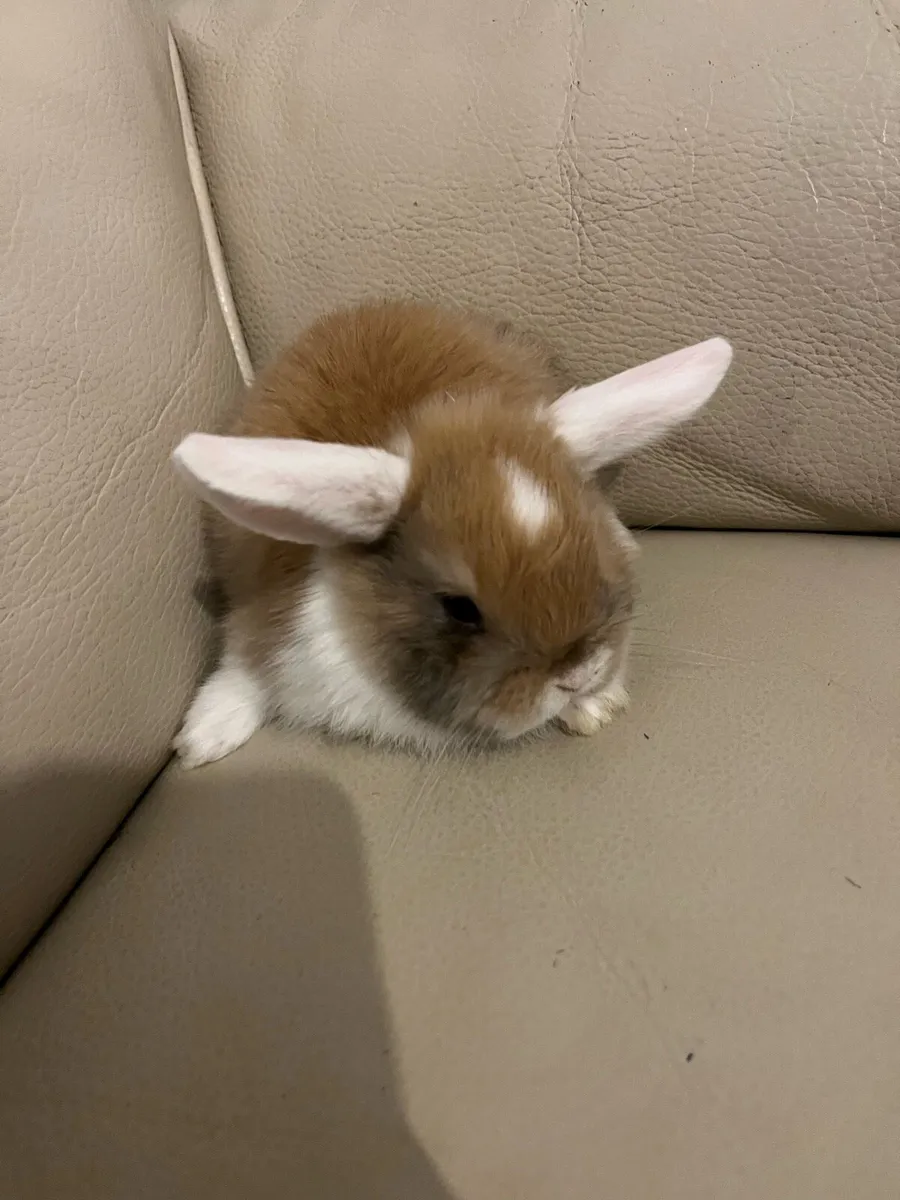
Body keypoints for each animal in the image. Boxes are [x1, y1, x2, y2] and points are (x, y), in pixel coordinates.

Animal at [172, 299, 731, 767]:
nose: (577, 676)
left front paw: (595, 707)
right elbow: (245, 663)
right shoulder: (262, 611)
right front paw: (201, 740)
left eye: (595, 552)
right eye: (459, 608)